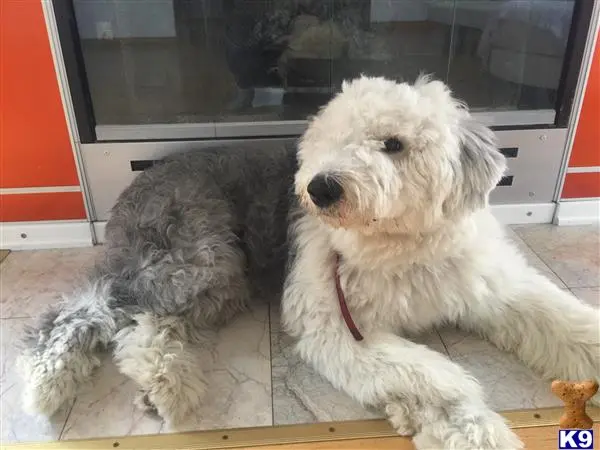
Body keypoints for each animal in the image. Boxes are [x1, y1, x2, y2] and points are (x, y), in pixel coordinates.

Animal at [282, 75, 600, 448]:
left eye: (393, 143)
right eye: (334, 137)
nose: (321, 188)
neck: (407, 252)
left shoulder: (496, 285)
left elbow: (563, 320)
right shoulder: (337, 329)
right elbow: (435, 380)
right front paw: (479, 433)